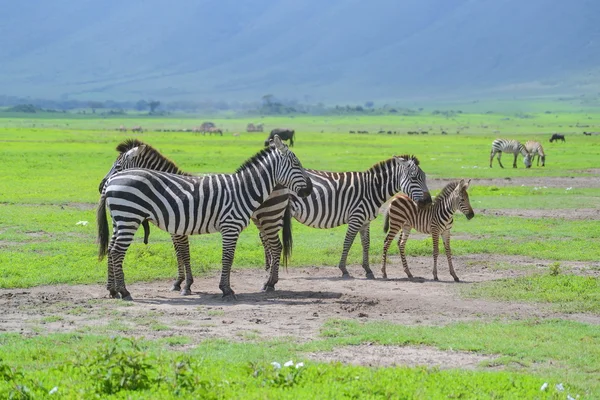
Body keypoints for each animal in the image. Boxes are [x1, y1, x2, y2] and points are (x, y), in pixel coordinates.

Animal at [96, 135, 312, 300]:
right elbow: (224, 257)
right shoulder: (229, 226)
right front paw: (225, 290)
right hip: (127, 217)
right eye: (296, 164)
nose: (309, 190)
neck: (244, 188)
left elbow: (188, 254)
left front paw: (187, 285)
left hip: (121, 219)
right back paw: (123, 291)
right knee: (116, 251)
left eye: (118, 164)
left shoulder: (187, 228)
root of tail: (112, 182)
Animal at [262, 154, 432, 288]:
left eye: (424, 177)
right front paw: (343, 269)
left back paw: (268, 266)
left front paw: (368, 270)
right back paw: (270, 270)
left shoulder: (365, 221)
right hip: (275, 211)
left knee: (265, 237)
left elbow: (366, 243)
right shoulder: (356, 218)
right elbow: (348, 242)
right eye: (414, 178)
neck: (372, 190)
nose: (428, 202)